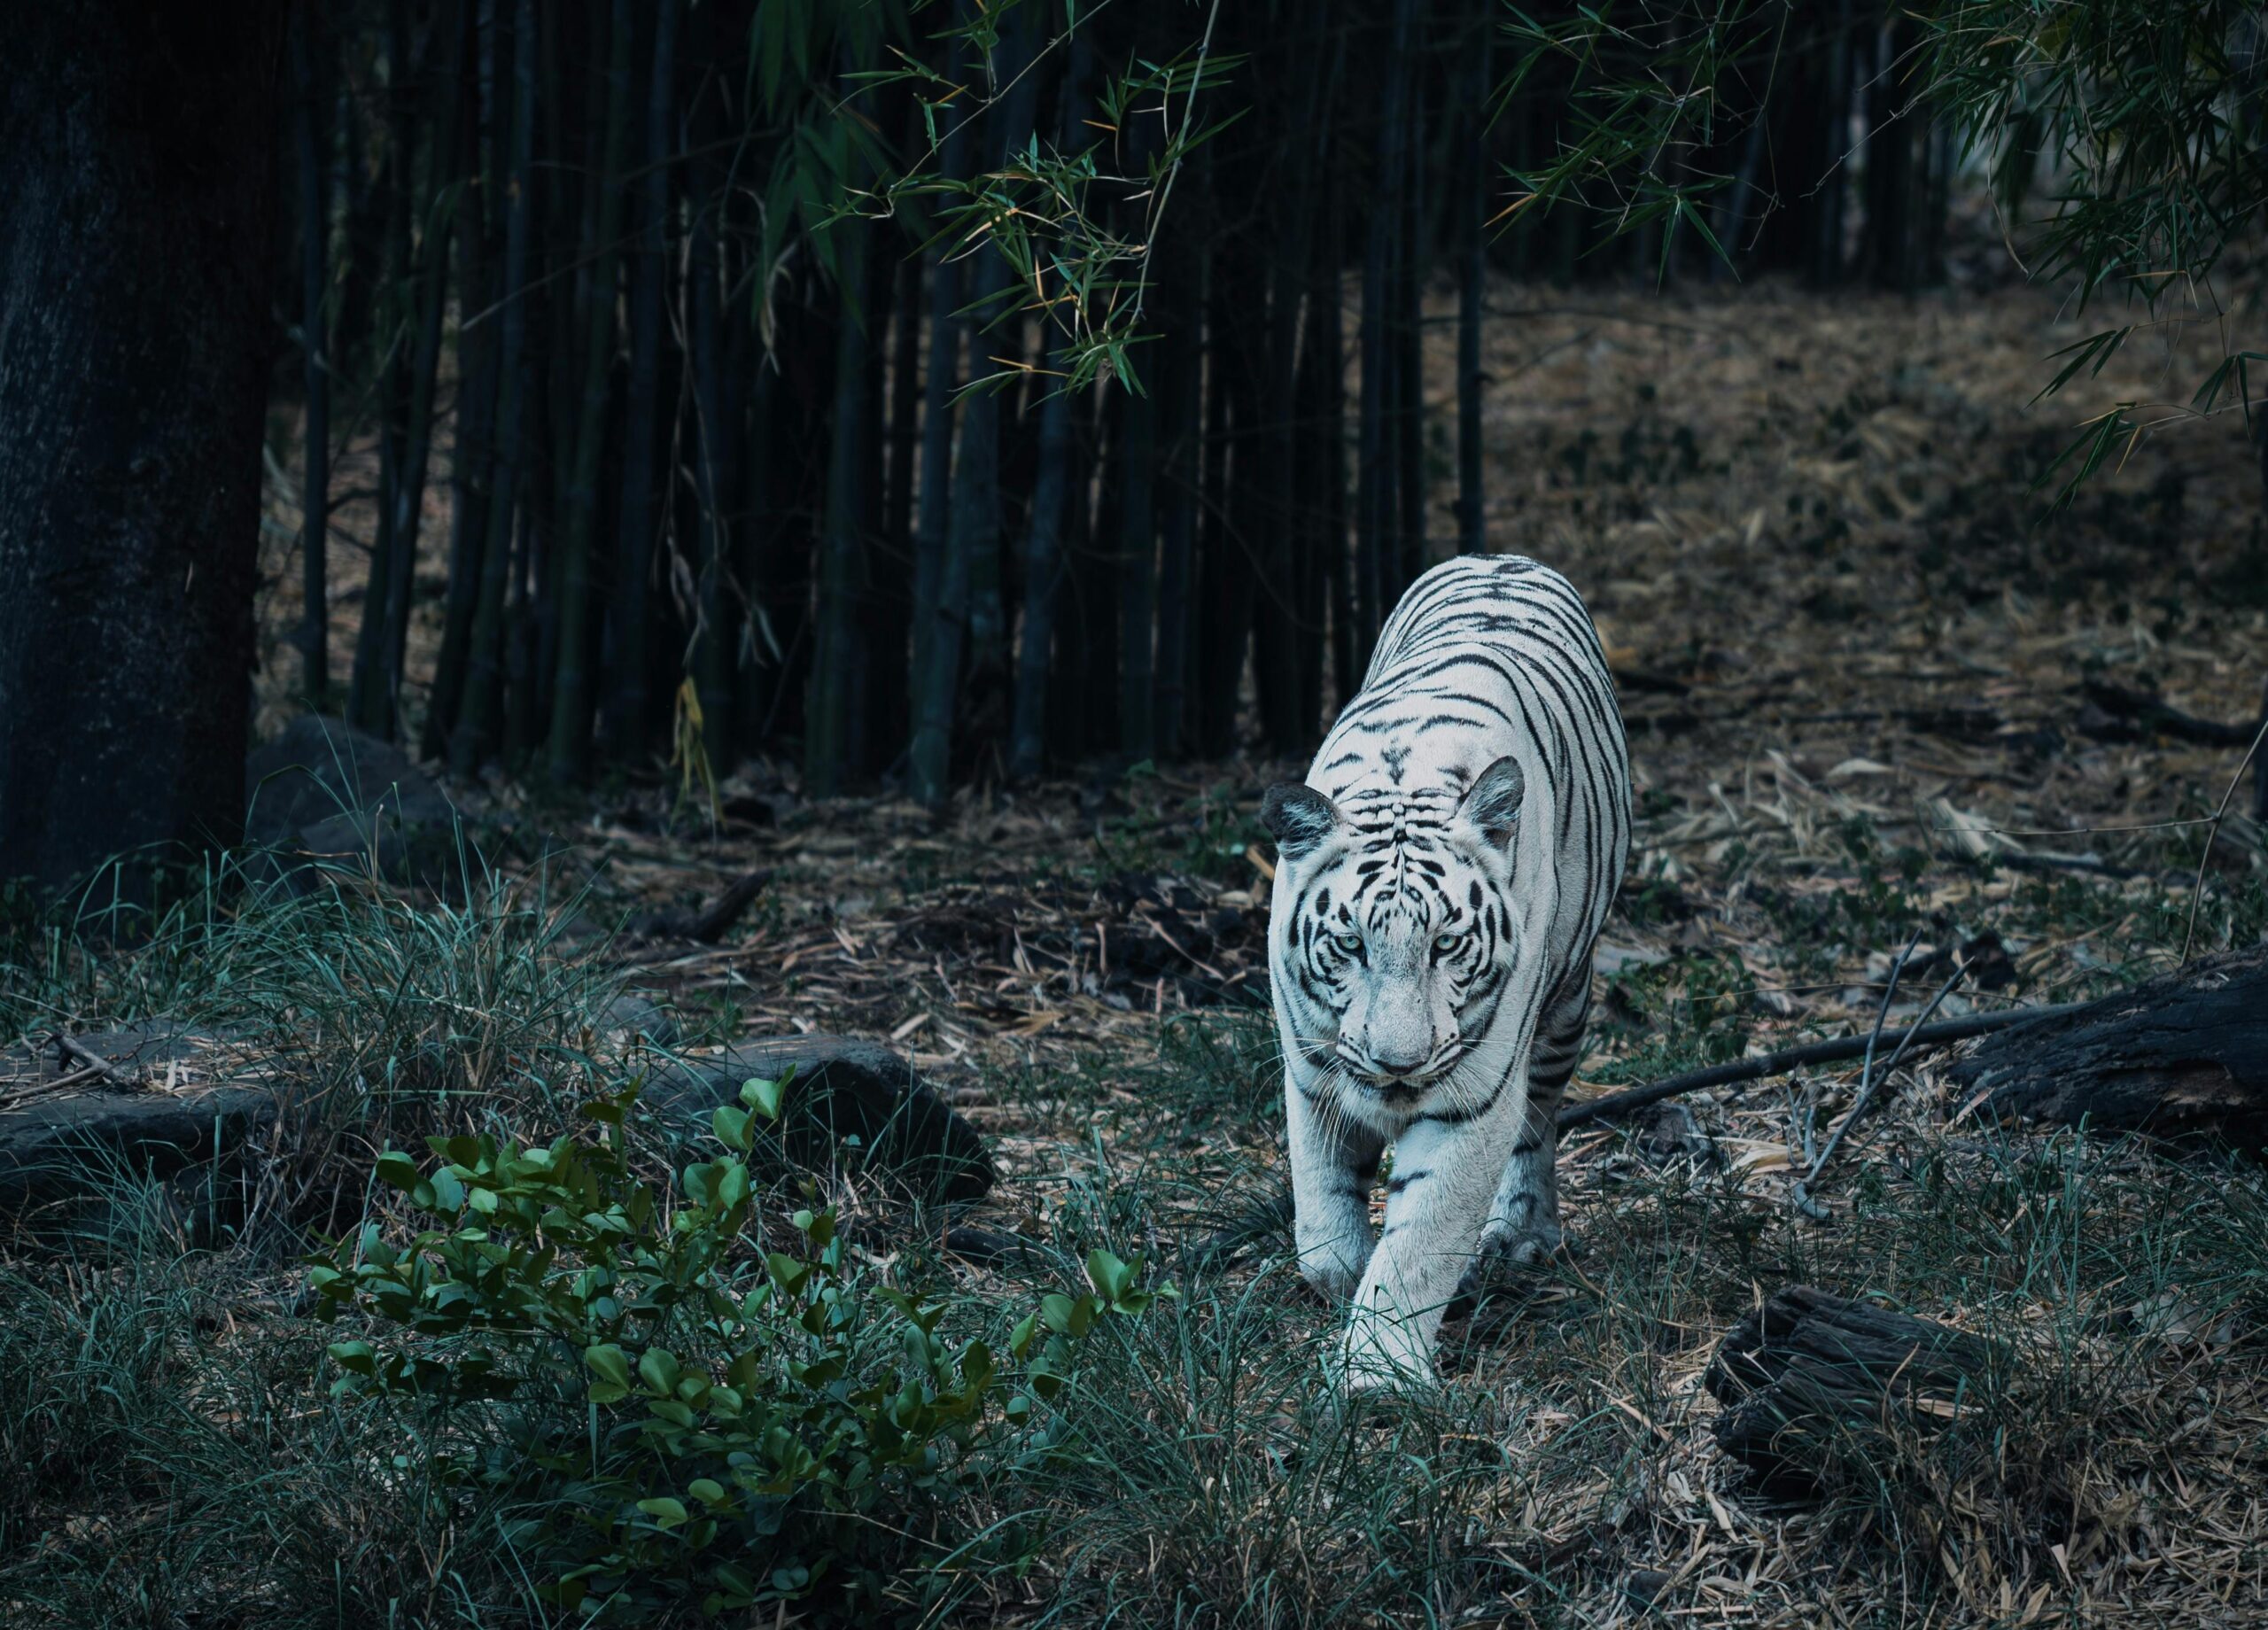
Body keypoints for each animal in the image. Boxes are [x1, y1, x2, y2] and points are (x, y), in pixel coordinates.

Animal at [1261, 554, 1631, 1392]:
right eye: (1352, 946)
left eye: (1447, 944)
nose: (1399, 1063)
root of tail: (1500, 557)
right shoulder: (1310, 1067)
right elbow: (1322, 1215)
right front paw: (1343, 1277)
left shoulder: (1473, 1094)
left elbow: (1422, 1240)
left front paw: (1377, 1379)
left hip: (1566, 1007)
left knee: (1538, 1128)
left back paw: (1522, 1234)